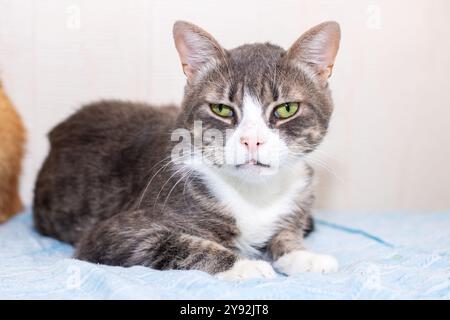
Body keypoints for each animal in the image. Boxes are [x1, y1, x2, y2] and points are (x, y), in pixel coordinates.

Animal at [32, 20, 342, 280]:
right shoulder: (113, 234)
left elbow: (285, 234)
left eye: (287, 109)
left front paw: (304, 255)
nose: (252, 140)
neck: (253, 195)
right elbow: (178, 244)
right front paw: (245, 265)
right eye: (221, 109)